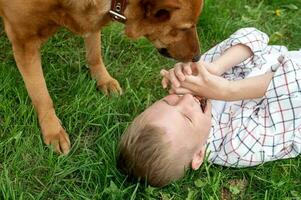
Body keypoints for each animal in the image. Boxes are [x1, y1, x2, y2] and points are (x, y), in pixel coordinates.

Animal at [0, 0, 203, 154]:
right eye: (184, 28)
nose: (198, 57)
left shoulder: (90, 20)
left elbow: (94, 53)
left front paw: (103, 80)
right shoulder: (24, 42)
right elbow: (41, 96)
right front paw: (52, 130)